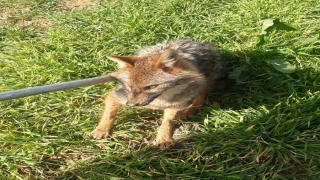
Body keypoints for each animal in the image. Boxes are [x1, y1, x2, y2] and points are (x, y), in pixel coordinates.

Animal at [90, 39, 229, 149]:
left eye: (151, 87)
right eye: (129, 86)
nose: (131, 105)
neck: (160, 101)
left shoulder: (175, 105)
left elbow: (167, 122)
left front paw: (163, 139)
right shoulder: (118, 95)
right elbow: (109, 115)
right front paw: (101, 130)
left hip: (202, 83)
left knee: (200, 98)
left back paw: (188, 111)